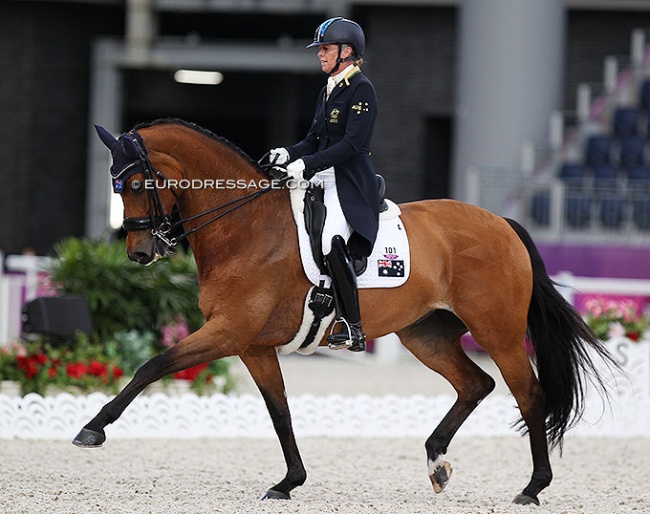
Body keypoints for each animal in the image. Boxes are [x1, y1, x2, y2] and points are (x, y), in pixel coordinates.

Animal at [74, 119, 612, 504]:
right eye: (116, 186)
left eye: (136, 184)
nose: (140, 253)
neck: (245, 225)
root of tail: (501, 222)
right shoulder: (252, 345)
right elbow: (279, 410)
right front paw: (289, 481)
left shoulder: (227, 332)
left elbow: (153, 365)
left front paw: (92, 429)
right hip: (425, 334)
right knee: (475, 384)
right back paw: (437, 462)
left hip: (496, 331)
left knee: (529, 395)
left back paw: (532, 488)